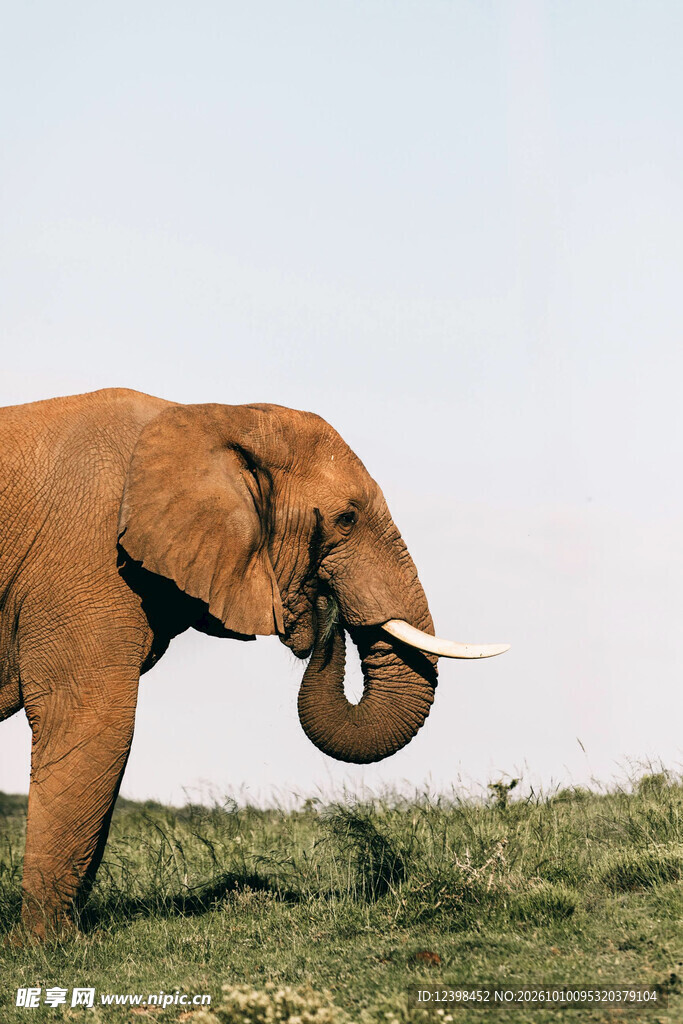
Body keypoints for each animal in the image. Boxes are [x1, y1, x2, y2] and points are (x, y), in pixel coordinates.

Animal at [0, 388, 508, 938]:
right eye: (346, 519)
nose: (324, 603)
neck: (213, 417)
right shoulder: (84, 560)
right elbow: (94, 724)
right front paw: (47, 946)